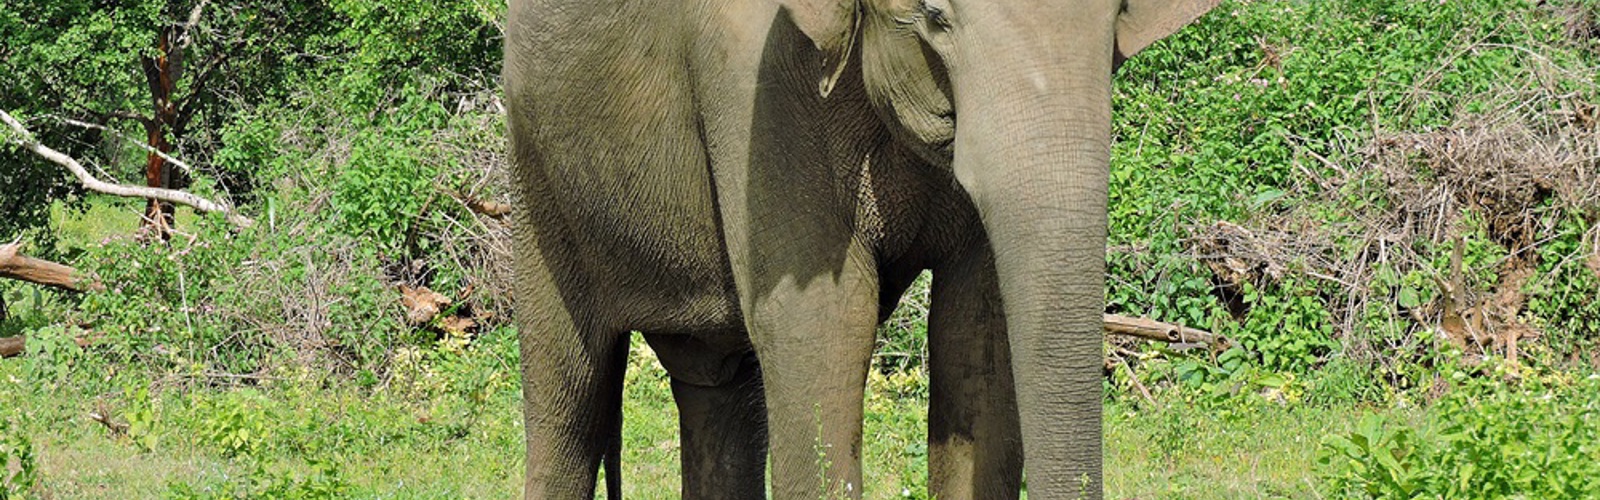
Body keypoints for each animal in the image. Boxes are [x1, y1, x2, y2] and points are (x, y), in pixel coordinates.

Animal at [503, 0, 1217, 498]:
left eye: (1116, 16)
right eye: (934, 15)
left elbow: (976, 336)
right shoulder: (757, 79)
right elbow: (824, 321)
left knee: (719, 389)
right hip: (535, 172)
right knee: (569, 394)